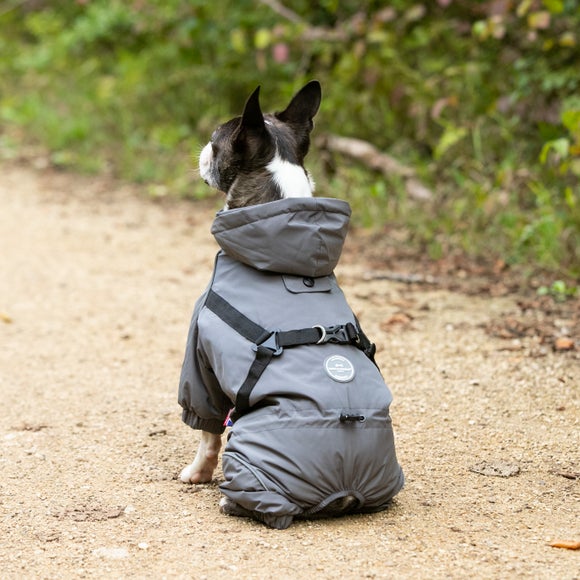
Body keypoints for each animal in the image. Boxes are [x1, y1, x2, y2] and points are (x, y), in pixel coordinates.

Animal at [178, 82, 404, 532]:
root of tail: (345, 488)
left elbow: (207, 431)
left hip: (251, 451)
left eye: (215, 140)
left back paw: (230, 500)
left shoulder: (199, 355)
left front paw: (197, 473)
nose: (202, 150)